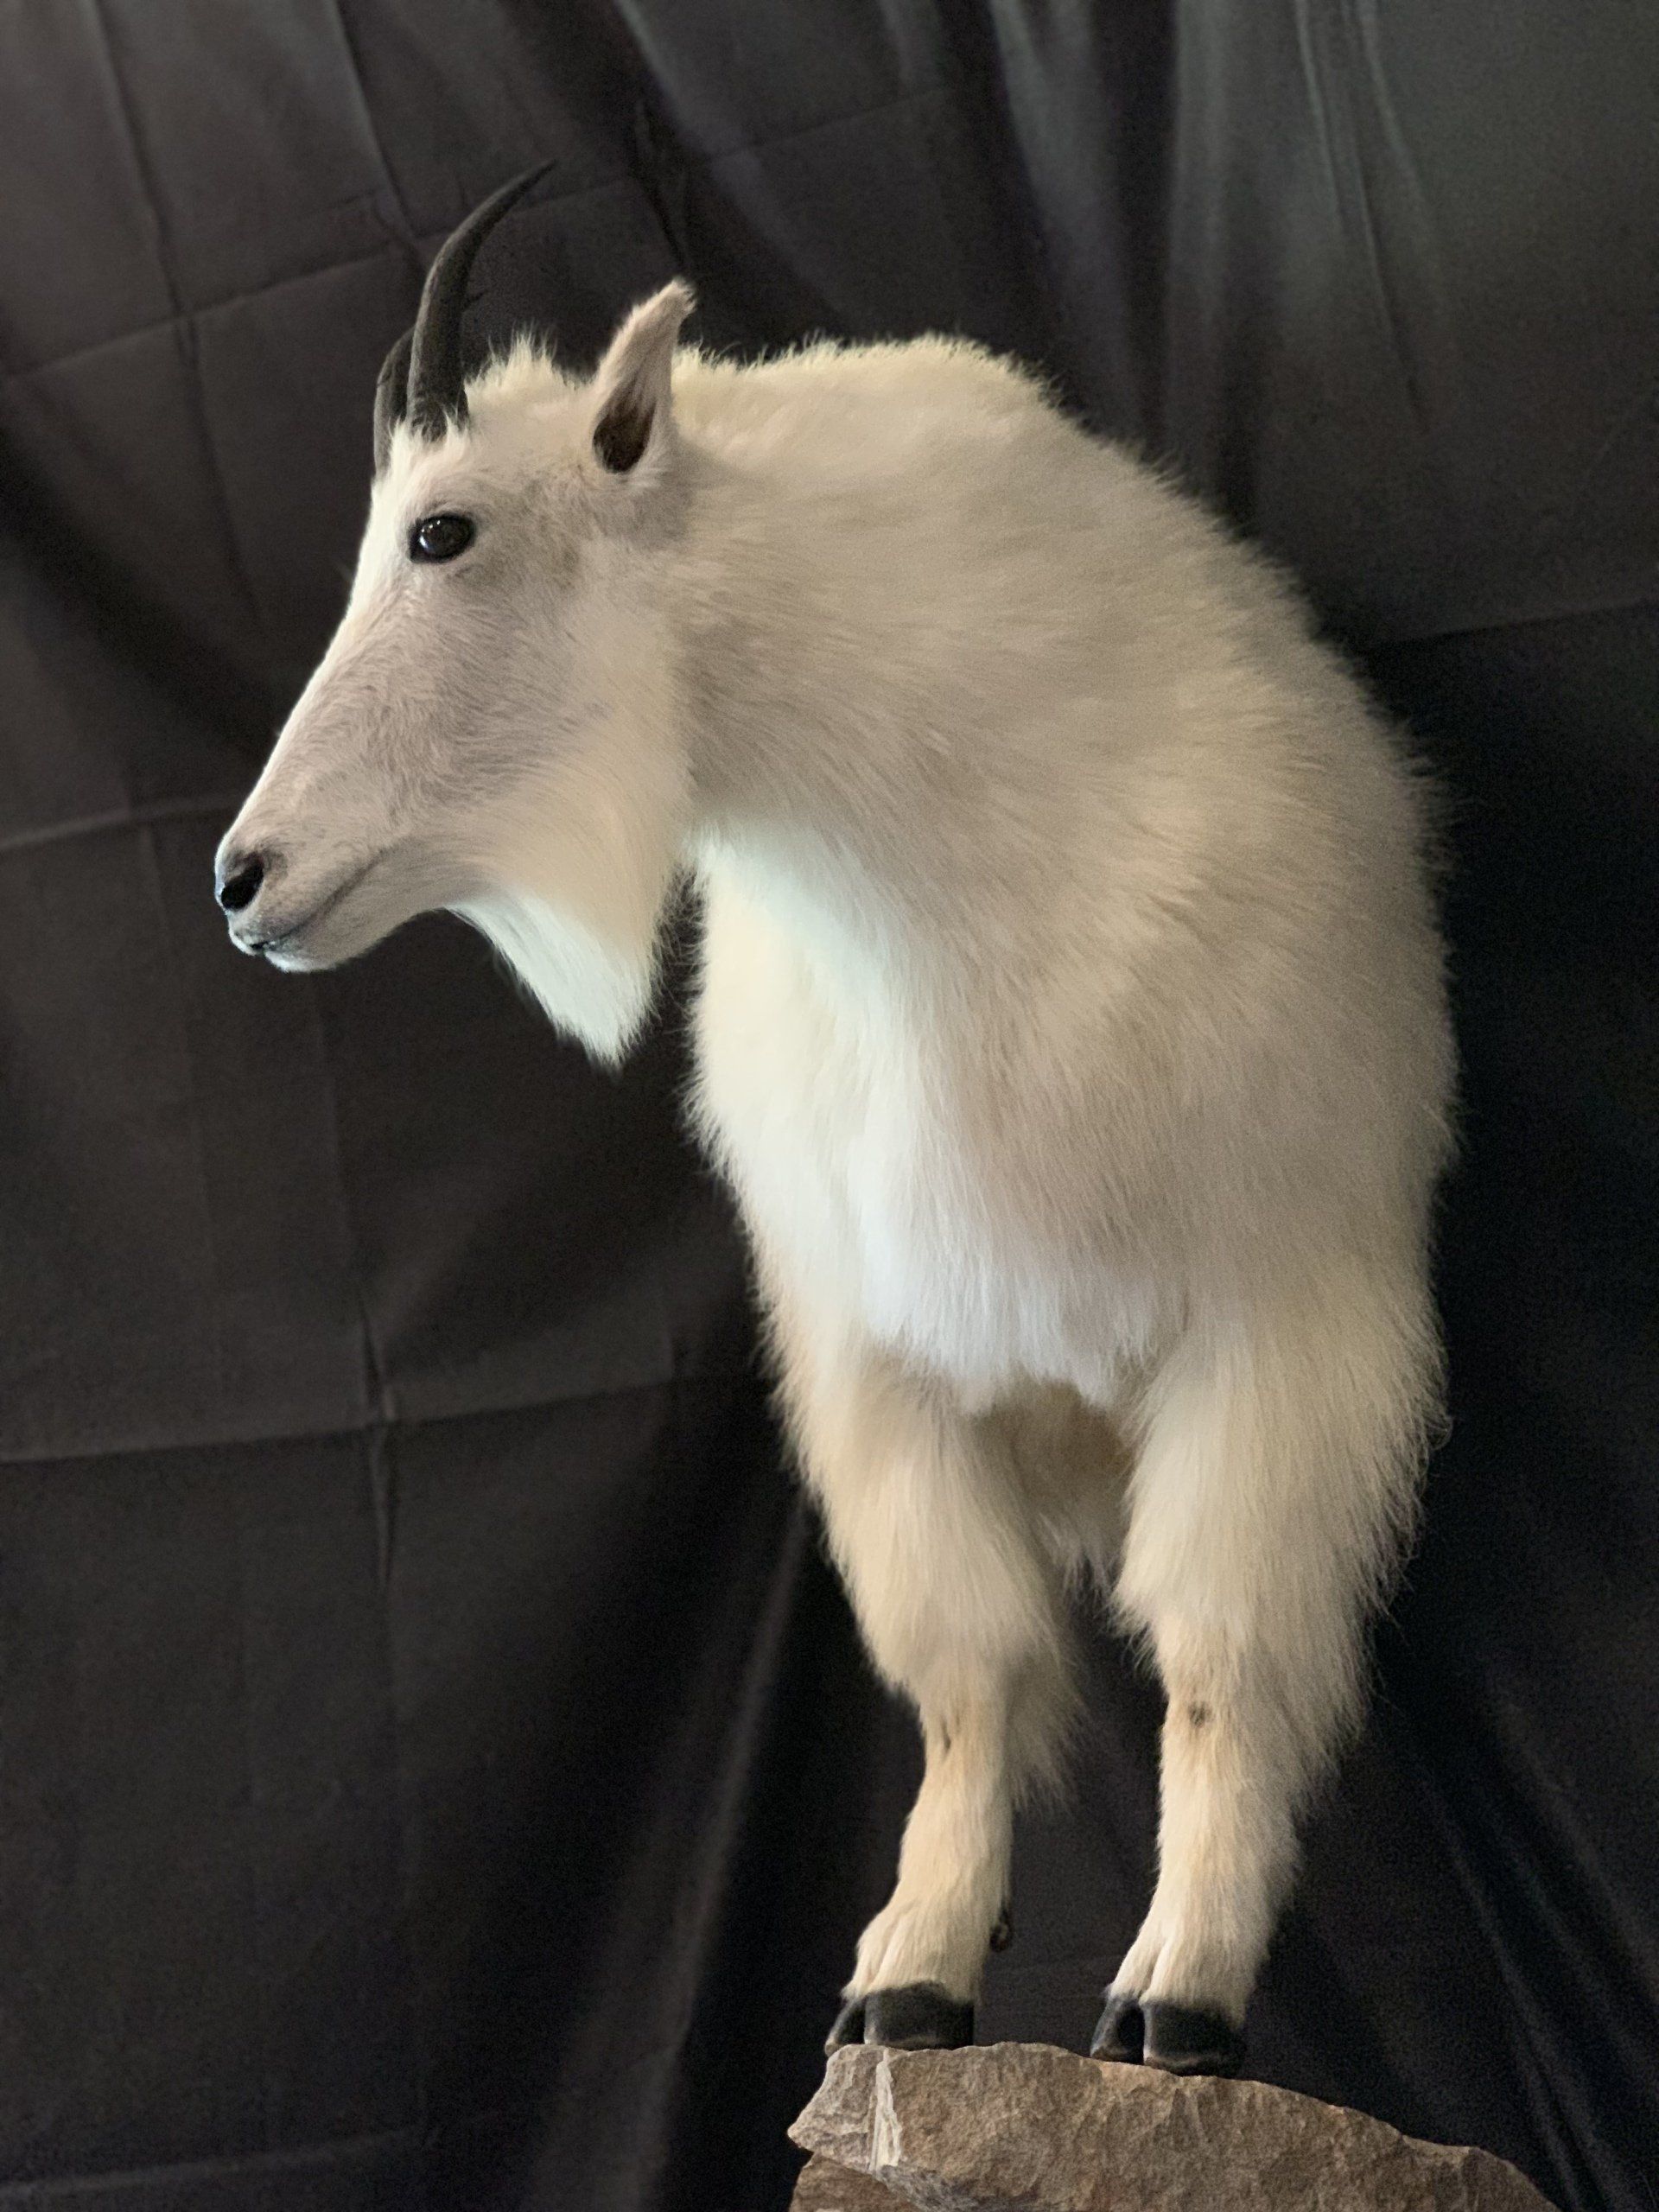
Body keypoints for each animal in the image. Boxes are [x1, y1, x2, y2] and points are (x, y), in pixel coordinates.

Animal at [217, 171, 1453, 2076]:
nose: (246, 879)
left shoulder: (1275, 1329)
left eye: (442, 532)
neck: (937, 873)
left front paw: (1175, 1998)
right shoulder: (879, 1364)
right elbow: (966, 1678)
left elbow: (1220, 1660)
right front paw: (908, 1982)